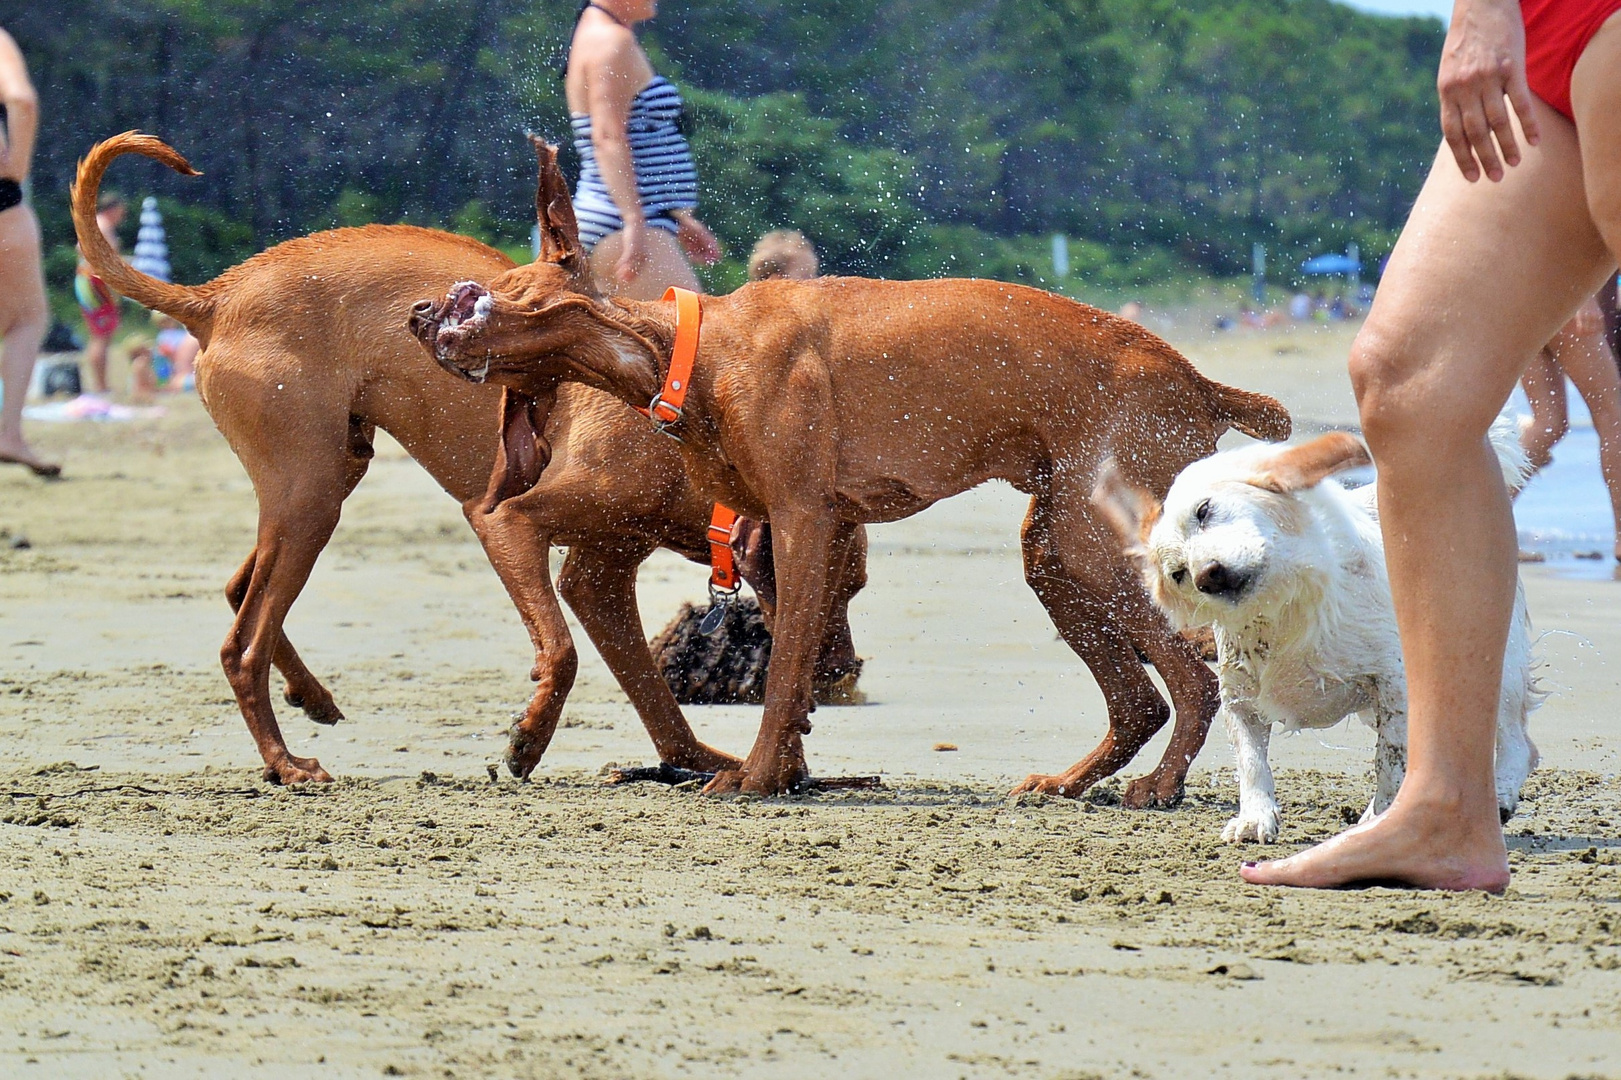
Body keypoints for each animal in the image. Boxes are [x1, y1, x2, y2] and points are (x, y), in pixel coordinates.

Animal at [72, 137, 875, 781]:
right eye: (839, 584)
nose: (843, 675)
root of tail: (218, 294)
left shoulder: (601, 575)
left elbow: (651, 694)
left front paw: (700, 760)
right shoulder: (506, 522)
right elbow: (563, 652)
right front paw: (530, 738)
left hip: (326, 472)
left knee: (244, 589)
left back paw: (311, 696)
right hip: (311, 496)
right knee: (242, 644)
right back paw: (284, 763)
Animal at [408, 142, 1290, 797]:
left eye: (494, 288)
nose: (417, 313)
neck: (688, 351)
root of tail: (1193, 380)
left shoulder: (800, 522)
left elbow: (783, 665)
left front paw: (755, 779)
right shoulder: (808, 537)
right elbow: (795, 668)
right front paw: (783, 771)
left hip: (1091, 545)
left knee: (1194, 678)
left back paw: (1159, 786)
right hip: (1055, 554)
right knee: (1138, 698)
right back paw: (1071, 782)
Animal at [1095, 421, 1536, 843]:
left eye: (1204, 510)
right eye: (1179, 574)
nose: (1209, 575)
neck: (1286, 611)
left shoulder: (1394, 684)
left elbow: (1391, 760)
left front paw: (1382, 821)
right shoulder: (1239, 696)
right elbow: (1251, 761)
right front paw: (1255, 819)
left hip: (1487, 669)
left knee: (1517, 743)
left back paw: (1497, 797)